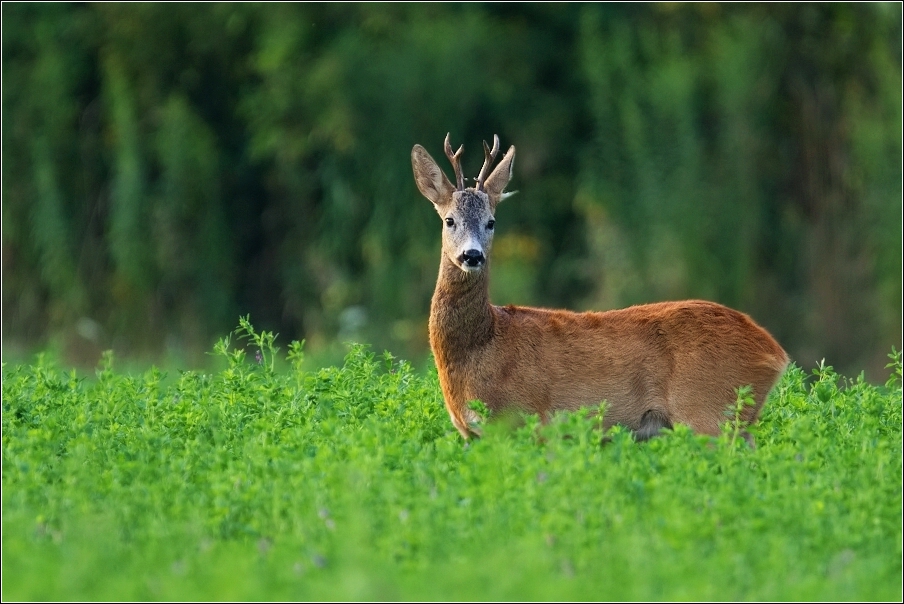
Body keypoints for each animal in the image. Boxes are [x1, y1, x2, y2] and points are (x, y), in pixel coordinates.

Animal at [414, 133, 788, 444]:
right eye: (450, 220)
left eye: (491, 222)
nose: (472, 255)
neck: (483, 343)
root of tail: (775, 353)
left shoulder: (527, 419)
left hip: (708, 412)